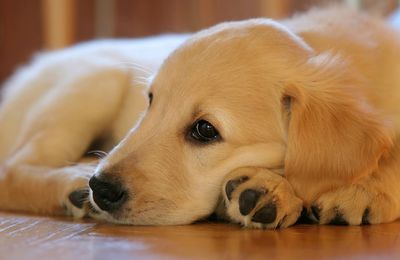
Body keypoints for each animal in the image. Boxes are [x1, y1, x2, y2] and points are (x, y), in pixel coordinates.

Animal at [0, 7, 400, 229]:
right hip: (97, 79)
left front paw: (365, 190)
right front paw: (273, 188)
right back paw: (72, 183)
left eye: (205, 130)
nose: (101, 188)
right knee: (11, 170)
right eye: (150, 101)